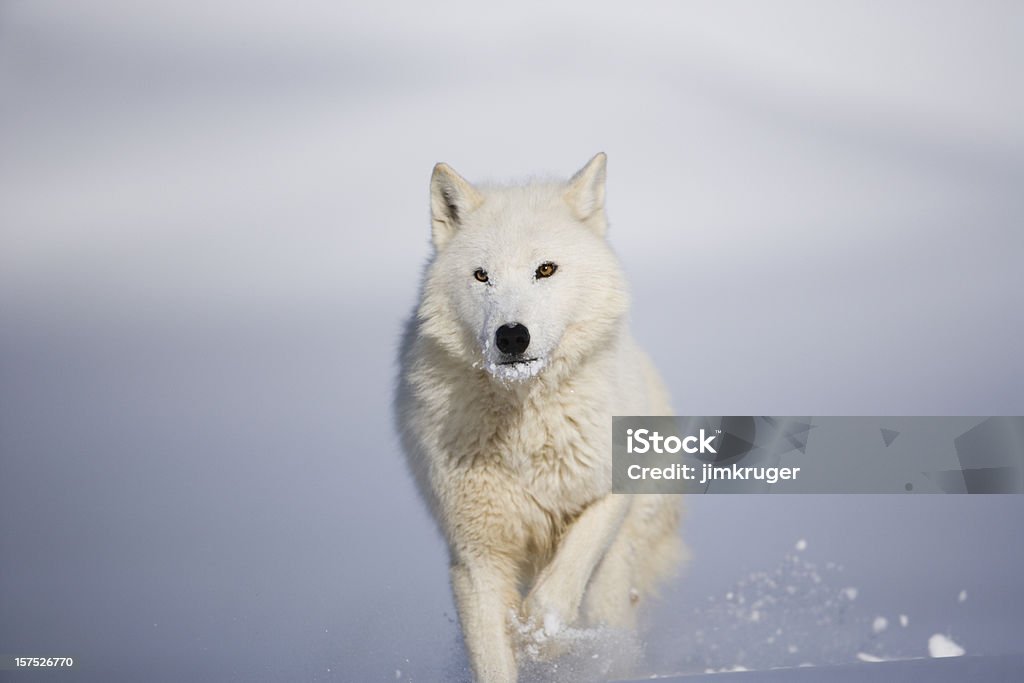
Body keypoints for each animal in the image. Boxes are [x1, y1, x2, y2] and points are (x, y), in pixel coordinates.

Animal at [395, 154, 684, 683]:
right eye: (481, 276)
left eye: (545, 270)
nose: (511, 336)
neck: (525, 427)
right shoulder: (474, 557)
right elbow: (492, 660)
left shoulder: (608, 493)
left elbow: (560, 583)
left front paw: (542, 637)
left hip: (615, 577)